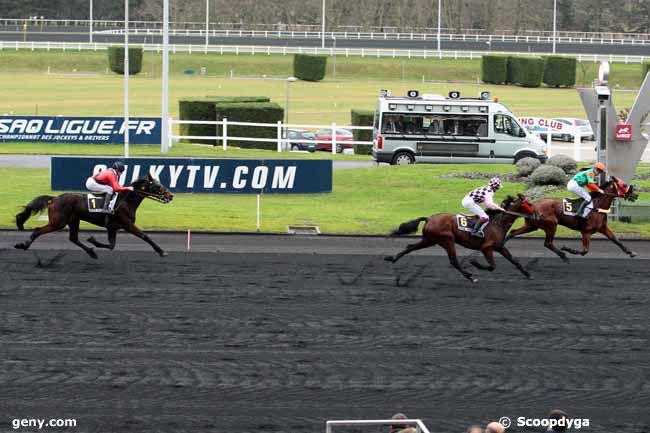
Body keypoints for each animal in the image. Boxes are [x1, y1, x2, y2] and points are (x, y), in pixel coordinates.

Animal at [14, 174, 173, 258]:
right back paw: (23, 245)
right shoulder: (127, 224)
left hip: (73, 220)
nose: (170, 196)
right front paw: (161, 251)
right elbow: (145, 236)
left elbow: (111, 245)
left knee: (73, 238)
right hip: (58, 222)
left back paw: (91, 252)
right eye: (157, 186)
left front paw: (93, 241)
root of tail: (53, 199)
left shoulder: (112, 228)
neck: (126, 201)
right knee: (38, 230)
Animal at [384, 193, 532, 282]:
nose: (535, 213)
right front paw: (474, 262)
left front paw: (527, 273)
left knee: (410, 247)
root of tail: (429, 218)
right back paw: (470, 276)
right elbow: (492, 266)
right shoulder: (486, 248)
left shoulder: (500, 247)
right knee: (454, 261)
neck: (498, 223)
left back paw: (392, 258)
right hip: (447, 240)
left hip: (429, 240)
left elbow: (514, 261)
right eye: (529, 203)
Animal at [504, 175, 636, 262]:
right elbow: (584, 251)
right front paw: (567, 249)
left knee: (513, 232)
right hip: (551, 225)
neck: (597, 206)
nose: (635, 195)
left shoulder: (603, 228)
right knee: (548, 243)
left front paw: (631, 252)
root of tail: (531, 204)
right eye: (624, 185)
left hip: (532, 225)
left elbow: (615, 239)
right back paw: (563, 255)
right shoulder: (586, 231)